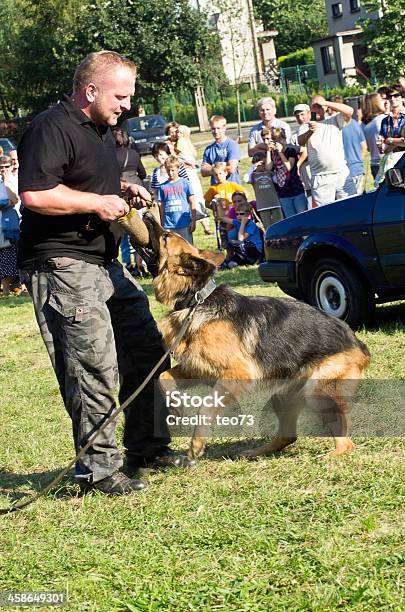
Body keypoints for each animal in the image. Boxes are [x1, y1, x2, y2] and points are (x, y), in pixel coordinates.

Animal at [140, 213, 370, 462]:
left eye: (166, 236)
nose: (147, 214)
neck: (196, 300)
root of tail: (358, 343)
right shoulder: (197, 368)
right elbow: (162, 376)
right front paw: (175, 407)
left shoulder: (236, 374)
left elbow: (205, 407)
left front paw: (196, 446)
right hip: (282, 396)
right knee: (288, 436)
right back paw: (255, 452)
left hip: (317, 393)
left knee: (347, 442)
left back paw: (329, 456)